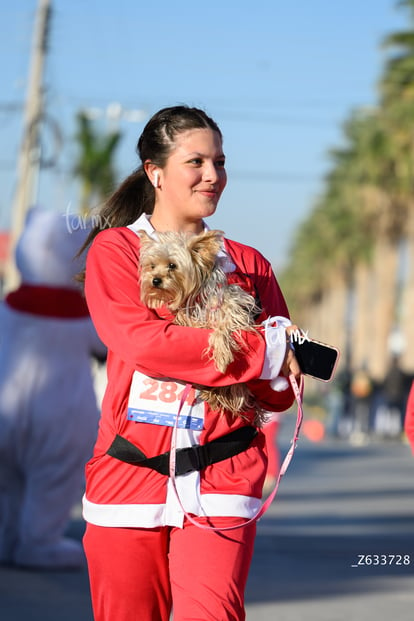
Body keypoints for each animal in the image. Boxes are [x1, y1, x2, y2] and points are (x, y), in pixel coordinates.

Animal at [139, 230, 266, 424]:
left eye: (172, 265)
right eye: (152, 266)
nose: (155, 280)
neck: (197, 292)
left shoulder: (234, 309)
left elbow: (223, 328)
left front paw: (222, 357)